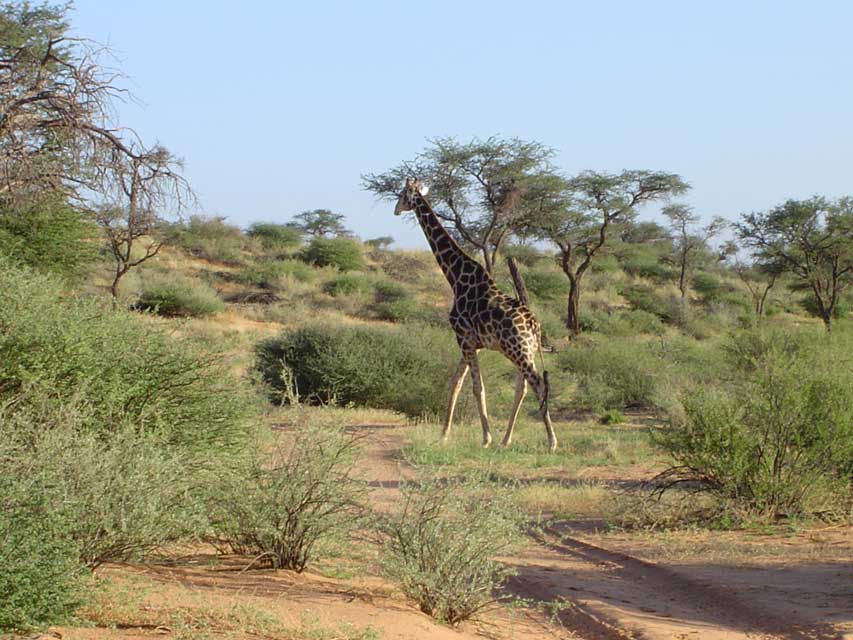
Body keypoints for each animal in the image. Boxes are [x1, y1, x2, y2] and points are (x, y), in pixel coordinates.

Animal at [394, 178, 560, 452]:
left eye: (401, 194)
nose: (396, 210)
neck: (455, 277)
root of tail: (534, 324)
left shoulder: (463, 337)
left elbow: (476, 387)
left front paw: (485, 438)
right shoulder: (473, 343)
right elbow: (456, 383)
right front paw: (444, 434)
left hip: (517, 350)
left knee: (537, 382)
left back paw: (551, 441)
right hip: (526, 350)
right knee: (523, 387)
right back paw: (506, 439)